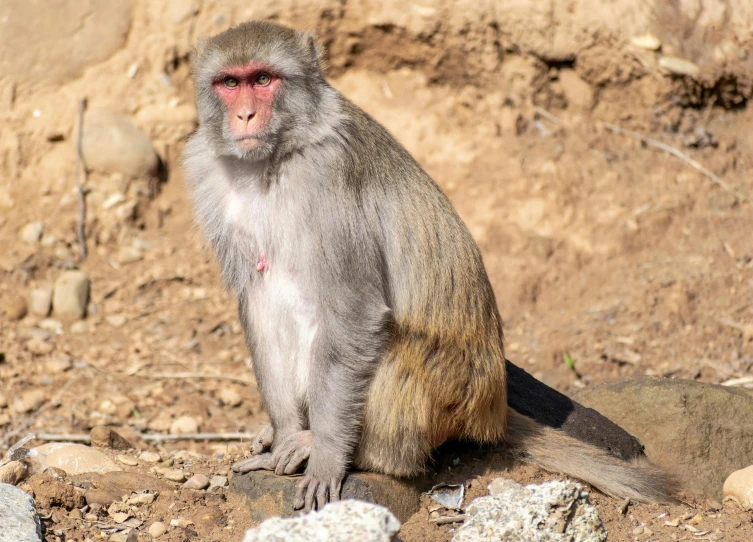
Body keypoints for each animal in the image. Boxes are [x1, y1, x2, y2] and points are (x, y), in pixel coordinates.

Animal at [182, 21, 676, 516]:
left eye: (263, 79)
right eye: (230, 83)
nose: (245, 115)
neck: (275, 160)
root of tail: (491, 410)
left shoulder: (327, 181)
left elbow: (354, 312)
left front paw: (325, 456)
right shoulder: (209, 175)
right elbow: (256, 299)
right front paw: (284, 434)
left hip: (443, 397)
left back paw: (349, 450)